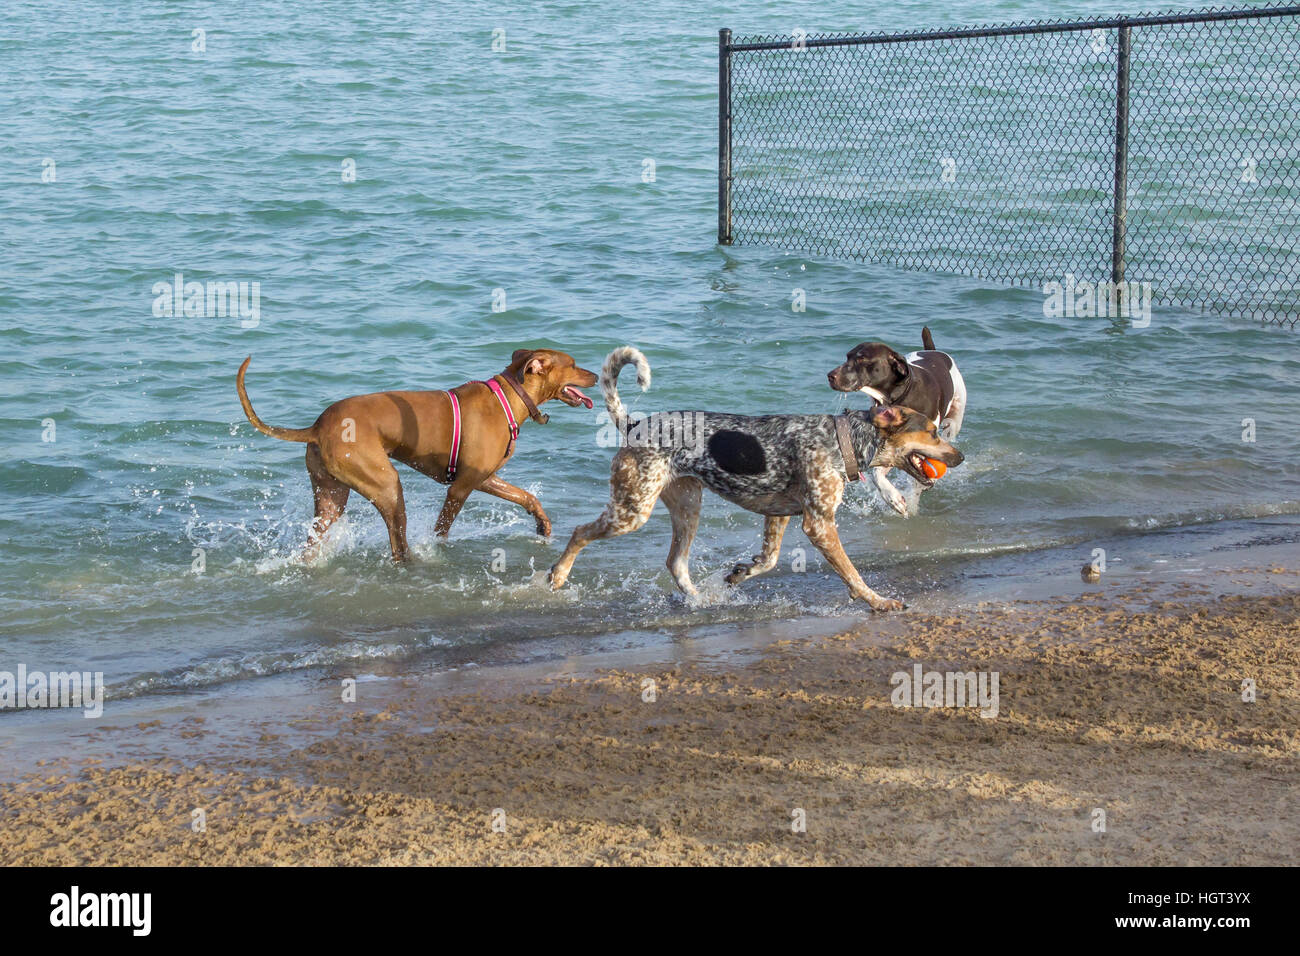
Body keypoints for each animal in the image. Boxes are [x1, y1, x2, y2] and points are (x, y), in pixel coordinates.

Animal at [236, 348, 595, 561]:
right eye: (574, 365)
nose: (594, 374)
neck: (510, 395)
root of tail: (316, 426)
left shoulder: (483, 478)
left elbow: (527, 496)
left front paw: (543, 525)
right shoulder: (460, 487)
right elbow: (442, 530)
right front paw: (437, 549)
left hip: (330, 497)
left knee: (313, 542)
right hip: (386, 486)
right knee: (397, 543)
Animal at [826, 329, 961, 520]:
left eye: (862, 359)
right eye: (847, 357)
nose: (830, 376)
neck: (897, 396)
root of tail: (932, 351)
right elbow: (878, 474)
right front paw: (893, 498)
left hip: (956, 417)